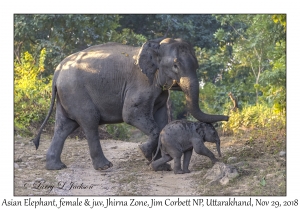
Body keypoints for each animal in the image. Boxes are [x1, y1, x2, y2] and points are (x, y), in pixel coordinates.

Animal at [32, 36, 229, 171]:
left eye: (196, 66)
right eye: (175, 66)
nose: (227, 117)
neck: (156, 44)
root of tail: (57, 71)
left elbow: (161, 119)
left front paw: (160, 165)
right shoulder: (141, 83)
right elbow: (131, 115)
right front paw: (144, 152)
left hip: (67, 96)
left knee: (64, 126)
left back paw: (56, 167)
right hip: (76, 93)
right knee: (89, 122)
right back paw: (104, 166)